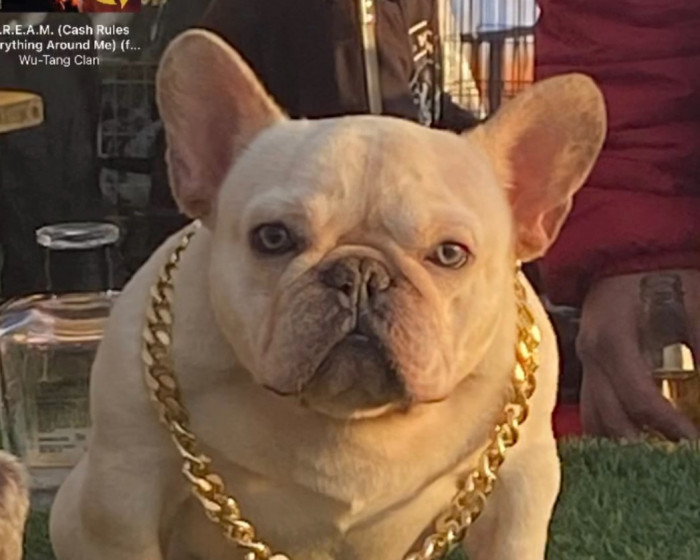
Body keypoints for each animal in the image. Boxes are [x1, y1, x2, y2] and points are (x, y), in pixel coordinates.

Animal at [49, 29, 606, 560]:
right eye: (273, 238)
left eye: (450, 254)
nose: (360, 272)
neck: (350, 418)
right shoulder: (126, 492)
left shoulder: (522, 484)